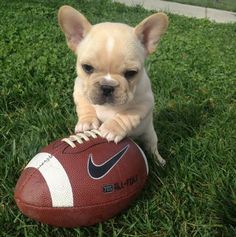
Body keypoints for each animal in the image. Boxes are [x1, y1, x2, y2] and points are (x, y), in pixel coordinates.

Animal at [58, 5, 169, 165]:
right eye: (87, 67)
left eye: (131, 73)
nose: (107, 86)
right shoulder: (80, 90)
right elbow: (85, 106)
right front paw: (87, 122)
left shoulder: (144, 103)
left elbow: (125, 116)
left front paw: (112, 128)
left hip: (149, 134)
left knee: (152, 147)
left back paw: (159, 160)